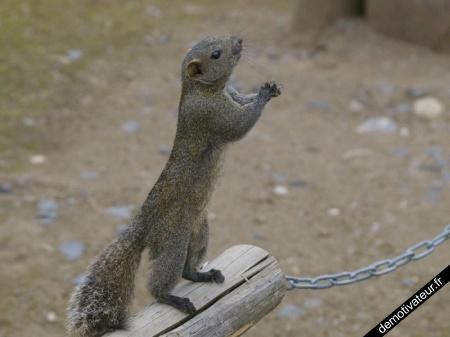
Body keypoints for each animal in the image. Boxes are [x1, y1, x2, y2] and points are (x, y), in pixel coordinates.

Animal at [66, 35, 282, 334]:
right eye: (216, 54)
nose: (239, 40)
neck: (204, 89)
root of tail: (144, 226)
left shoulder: (233, 95)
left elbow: (243, 100)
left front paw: (265, 91)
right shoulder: (212, 115)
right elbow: (239, 126)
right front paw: (263, 94)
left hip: (199, 232)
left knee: (186, 270)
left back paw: (204, 274)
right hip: (173, 241)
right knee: (161, 282)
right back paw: (173, 299)